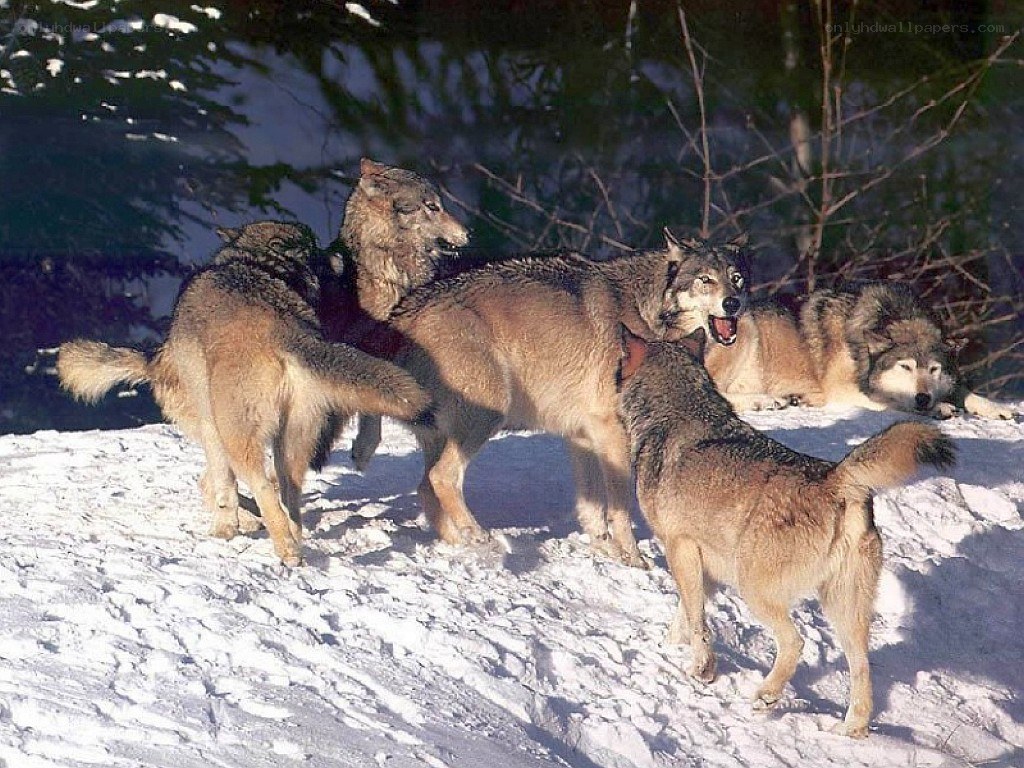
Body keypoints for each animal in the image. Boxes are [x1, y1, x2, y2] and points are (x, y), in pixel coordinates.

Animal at [57, 221, 431, 566]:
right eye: (316, 247)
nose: (339, 254)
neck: (258, 264)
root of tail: (284, 329)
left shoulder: (212, 426)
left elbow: (223, 486)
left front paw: (225, 529)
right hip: (292, 443)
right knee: (290, 495)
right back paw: (294, 544)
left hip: (240, 438)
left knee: (261, 487)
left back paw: (283, 548)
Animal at [359, 230, 748, 567]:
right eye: (705, 280)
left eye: (737, 278)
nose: (733, 303)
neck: (645, 312)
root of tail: (400, 314)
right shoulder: (612, 433)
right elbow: (620, 508)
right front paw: (635, 561)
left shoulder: (582, 436)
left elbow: (592, 509)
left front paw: (605, 552)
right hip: (490, 414)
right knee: (441, 478)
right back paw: (477, 534)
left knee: (426, 487)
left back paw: (460, 544)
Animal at [616, 324, 955, 738]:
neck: (675, 412)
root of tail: (835, 480)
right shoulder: (700, 565)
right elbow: (684, 614)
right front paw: (671, 648)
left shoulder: (679, 548)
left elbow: (697, 622)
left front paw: (702, 669)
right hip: (843, 610)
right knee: (861, 667)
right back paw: (850, 730)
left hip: (754, 589)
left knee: (796, 643)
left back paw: (767, 696)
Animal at [800, 282, 1015, 419]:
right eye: (905, 367)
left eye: (933, 369)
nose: (923, 398)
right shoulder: (839, 389)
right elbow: (892, 400)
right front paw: (940, 408)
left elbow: (963, 391)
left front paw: (995, 408)